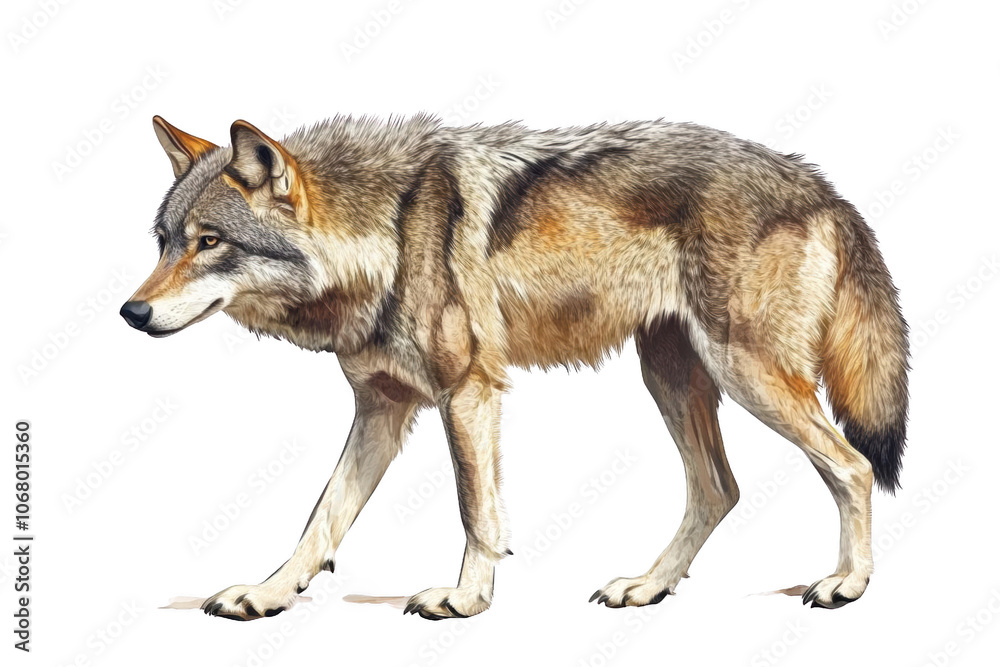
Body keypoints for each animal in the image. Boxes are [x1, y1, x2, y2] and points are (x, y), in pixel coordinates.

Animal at [121, 114, 909, 620]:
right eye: (164, 242)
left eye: (210, 241)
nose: (131, 311)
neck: (384, 231)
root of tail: (823, 186)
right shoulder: (382, 407)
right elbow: (322, 517)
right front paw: (269, 594)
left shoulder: (467, 390)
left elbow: (476, 508)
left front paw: (466, 599)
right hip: (671, 376)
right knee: (719, 488)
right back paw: (647, 587)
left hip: (747, 374)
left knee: (851, 466)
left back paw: (848, 585)